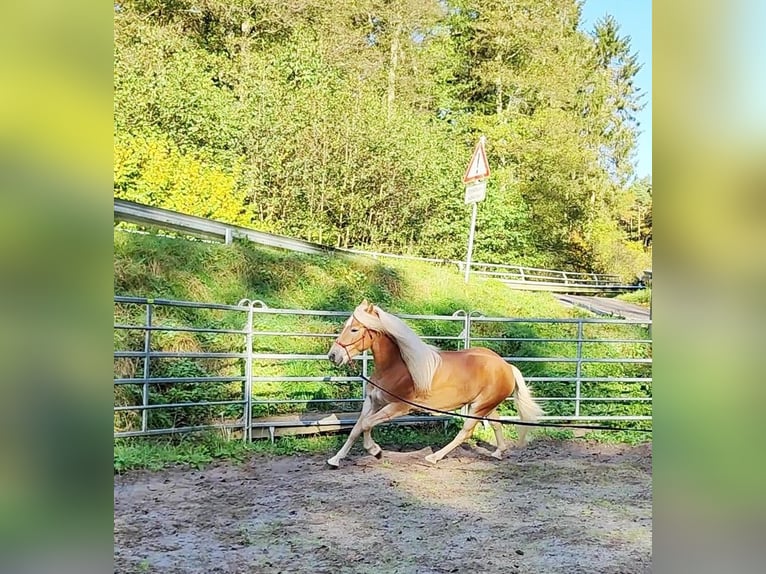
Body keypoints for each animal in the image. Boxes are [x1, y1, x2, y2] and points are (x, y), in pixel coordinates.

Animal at [326, 302, 544, 468]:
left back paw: (433, 457)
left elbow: (366, 424)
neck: (398, 366)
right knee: (496, 424)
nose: (333, 356)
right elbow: (357, 428)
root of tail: (507, 366)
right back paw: (498, 452)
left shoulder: (398, 407)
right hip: (485, 406)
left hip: (479, 407)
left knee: (465, 432)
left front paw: (376, 451)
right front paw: (335, 460)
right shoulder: (373, 401)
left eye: (354, 329)